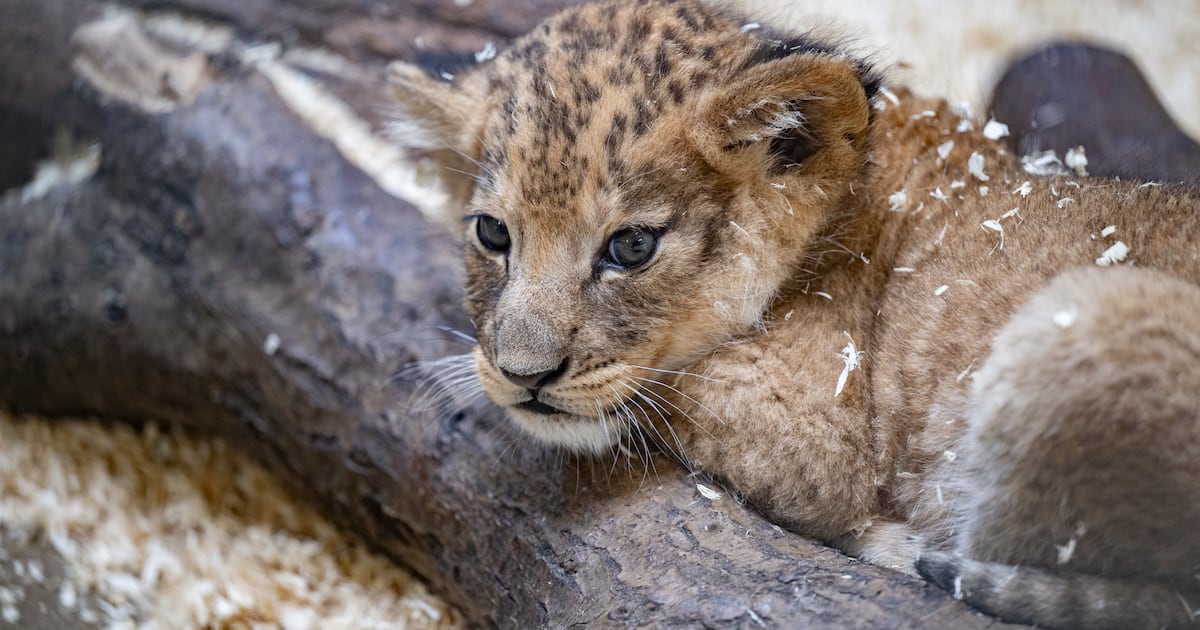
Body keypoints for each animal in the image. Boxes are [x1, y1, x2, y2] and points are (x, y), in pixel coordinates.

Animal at [388, 1, 1200, 626]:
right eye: (494, 235)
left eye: (631, 246)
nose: (524, 375)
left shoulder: (816, 424)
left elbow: (668, 395)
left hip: (1089, 319)